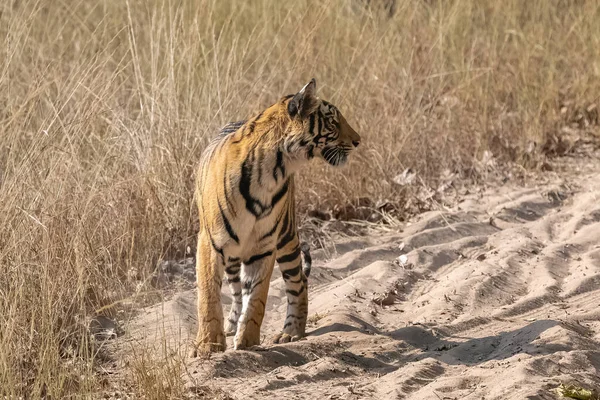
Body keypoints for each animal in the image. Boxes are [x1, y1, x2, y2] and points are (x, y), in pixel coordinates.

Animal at [192, 79, 360, 356]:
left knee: (299, 282)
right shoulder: (211, 242)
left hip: (287, 237)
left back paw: (291, 332)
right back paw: (232, 325)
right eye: (333, 121)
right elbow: (208, 295)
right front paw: (209, 345)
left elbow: (257, 297)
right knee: (236, 290)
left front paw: (247, 341)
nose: (358, 141)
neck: (274, 169)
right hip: (235, 254)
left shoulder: (263, 245)